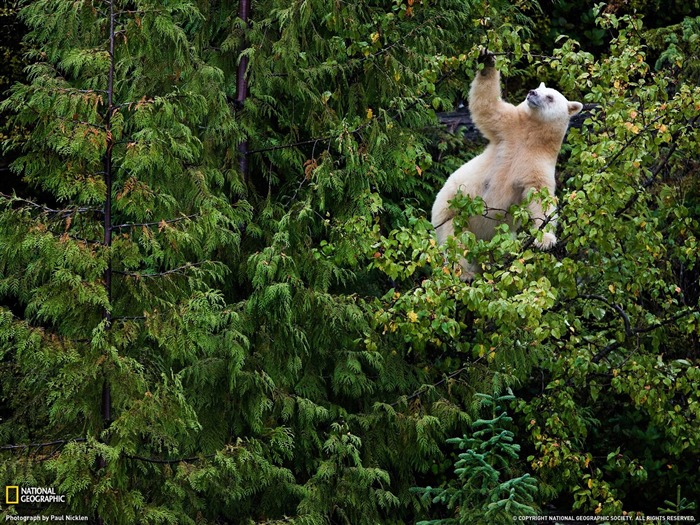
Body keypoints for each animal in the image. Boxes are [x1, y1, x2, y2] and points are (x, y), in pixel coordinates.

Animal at [430, 49, 584, 278]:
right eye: (539, 88)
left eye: (550, 96)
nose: (532, 92)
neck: (530, 136)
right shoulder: (508, 129)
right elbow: (488, 108)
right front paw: (487, 60)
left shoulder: (539, 163)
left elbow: (541, 197)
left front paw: (546, 240)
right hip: (449, 214)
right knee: (456, 243)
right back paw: (465, 273)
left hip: (497, 238)